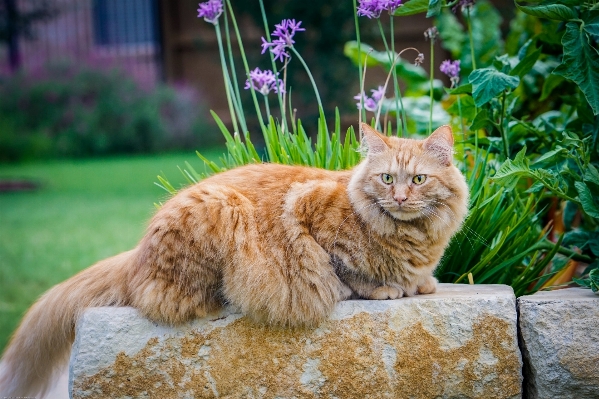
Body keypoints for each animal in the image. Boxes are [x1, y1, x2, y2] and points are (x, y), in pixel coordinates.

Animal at [0, 124, 468, 396]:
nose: (400, 198)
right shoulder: (310, 219)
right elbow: (347, 272)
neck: (410, 237)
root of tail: (135, 255)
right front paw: (386, 287)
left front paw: (421, 282)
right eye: (387, 178)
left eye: (419, 179)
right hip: (223, 210)